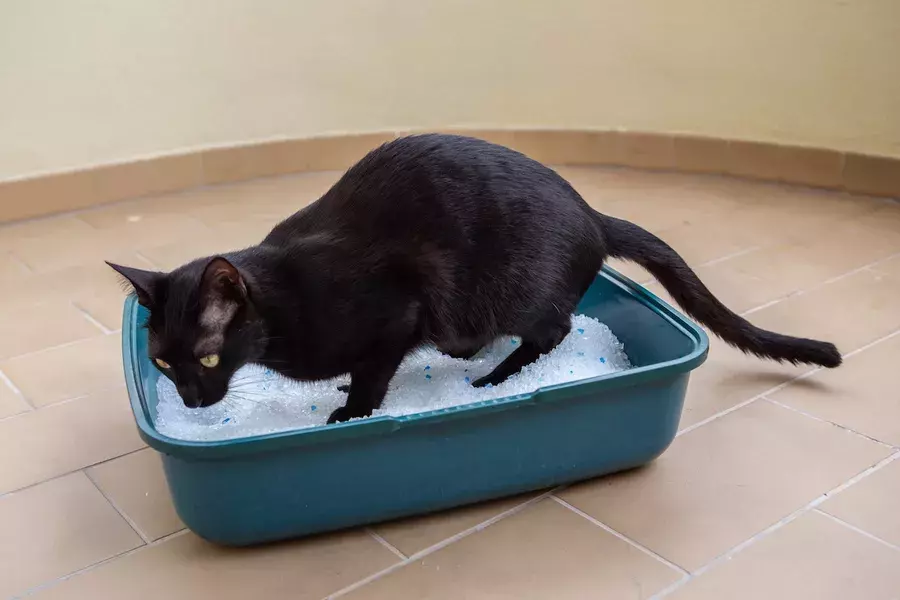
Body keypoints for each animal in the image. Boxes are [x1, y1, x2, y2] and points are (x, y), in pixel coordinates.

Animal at [109, 134, 841, 424]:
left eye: (208, 356)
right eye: (163, 362)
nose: (193, 402)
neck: (284, 302)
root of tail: (591, 213)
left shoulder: (397, 314)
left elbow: (374, 371)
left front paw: (353, 410)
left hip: (507, 297)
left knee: (554, 330)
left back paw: (494, 379)